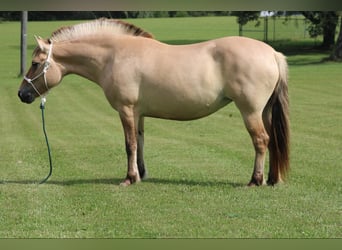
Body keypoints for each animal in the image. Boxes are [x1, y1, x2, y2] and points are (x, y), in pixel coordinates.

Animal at [17, 18, 290, 186]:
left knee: (261, 140)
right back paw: (272, 179)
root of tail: (272, 53)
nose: (22, 94)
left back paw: (255, 180)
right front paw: (141, 174)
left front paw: (129, 178)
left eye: (35, 63)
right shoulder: (138, 114)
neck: (114, 55)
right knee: (273, 141)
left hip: (250, 111)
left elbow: (129, 144)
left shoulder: (126, 110)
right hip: (264, 111)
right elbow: (140, 142)